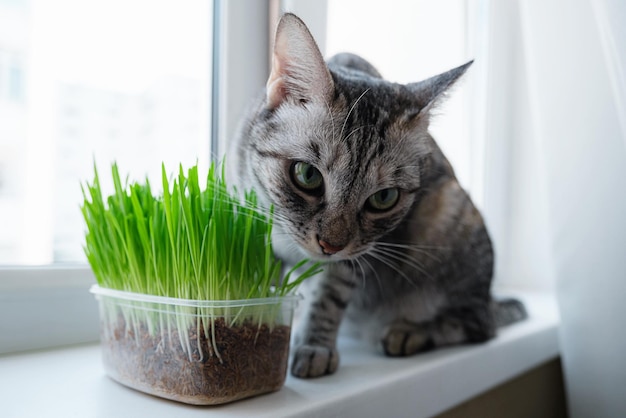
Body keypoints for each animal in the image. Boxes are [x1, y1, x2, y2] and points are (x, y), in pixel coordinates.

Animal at [227, 13, 524, 378]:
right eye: (307, 175)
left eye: (384, 198)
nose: (331, 245)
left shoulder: (353, 260)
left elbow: (327, 297)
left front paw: (314, 348)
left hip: (452, 220)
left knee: (477, 325)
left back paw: (407, 333)